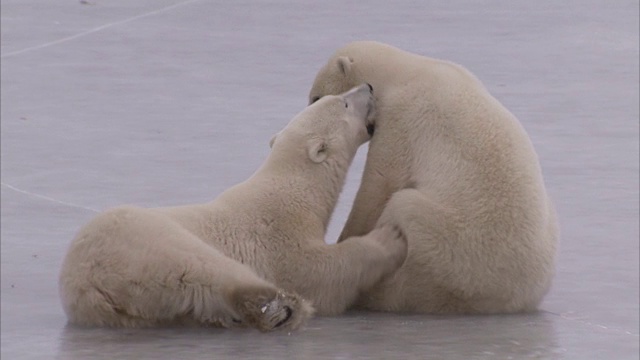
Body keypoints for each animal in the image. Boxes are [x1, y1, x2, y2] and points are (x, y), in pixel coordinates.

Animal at [62, 83, 408, 330]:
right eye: (344, 102)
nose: (369, 85)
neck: (292, 187)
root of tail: (89, 287)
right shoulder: (280, 234)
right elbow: (323, 272)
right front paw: (390, 236)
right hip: (142, 239)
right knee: (206, 268)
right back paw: (283, 309)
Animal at [308, 40, 556, 314]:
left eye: (317, 97)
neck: (405, 71)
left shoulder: (402, 116)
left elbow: (381, 182)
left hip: (454, 243)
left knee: (405, 211)